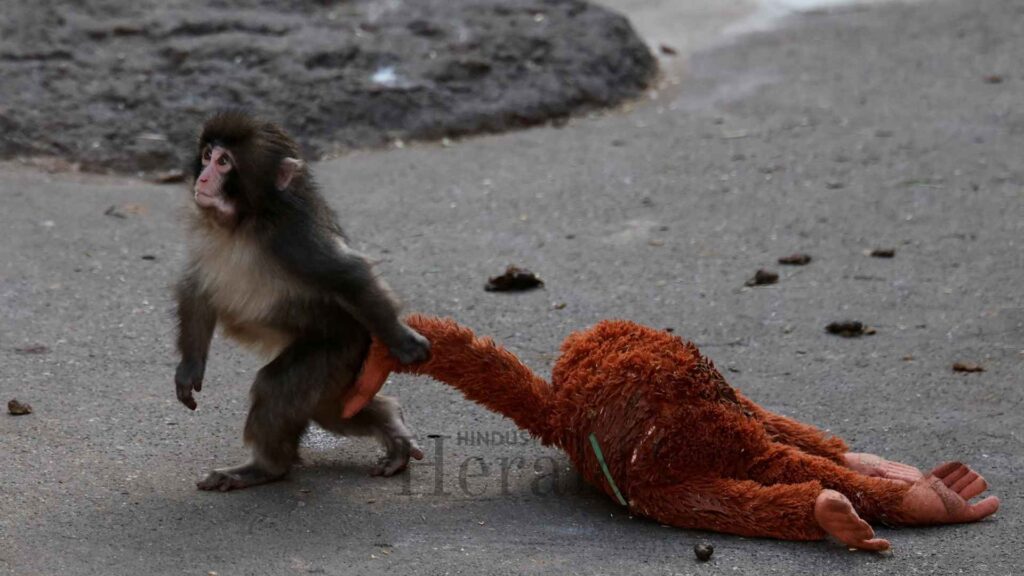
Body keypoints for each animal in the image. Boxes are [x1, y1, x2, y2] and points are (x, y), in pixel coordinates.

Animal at [174, 111, 430, 491]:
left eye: (224, 162)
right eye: (207, 155)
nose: (204, 177)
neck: (244, 221)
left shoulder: (293, 238)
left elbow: (349, 274)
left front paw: (402, 340)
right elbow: (197, 288)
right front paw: (190, 367)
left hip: (339, 347)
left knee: (279, 388)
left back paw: (266, 468)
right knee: (332, 410)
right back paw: (391, 422)